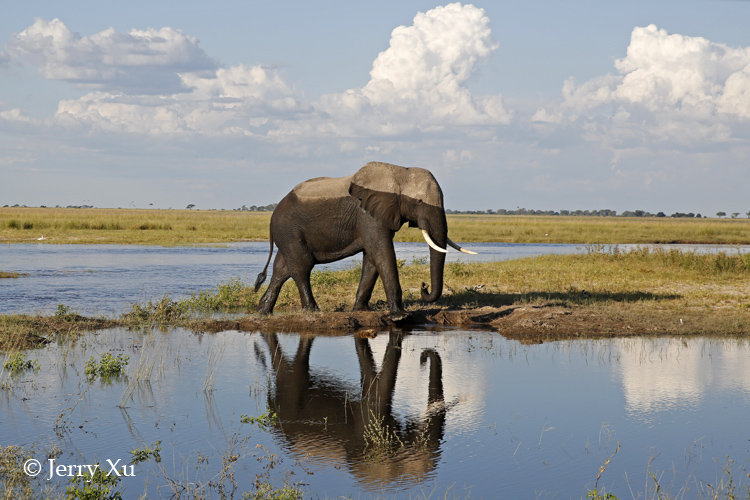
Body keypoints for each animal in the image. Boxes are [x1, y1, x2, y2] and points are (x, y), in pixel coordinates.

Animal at [254, 162, 476, 322]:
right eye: (420, 202)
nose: (423, 286)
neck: (398, 173)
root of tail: (273, 215)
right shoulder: (367, 214)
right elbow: (381, 252)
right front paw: (401, 317)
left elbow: (371, 257)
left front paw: (361, 311)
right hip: (288, 230)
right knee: (301, 266)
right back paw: (312, 311)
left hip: (288, 234)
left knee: (282, 269)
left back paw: (262, 311)